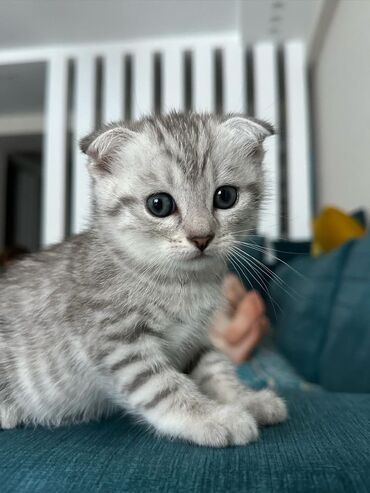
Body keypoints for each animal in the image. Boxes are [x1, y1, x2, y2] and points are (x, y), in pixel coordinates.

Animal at [0, 112, 288, 446]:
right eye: (159, 204)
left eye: (226, 196)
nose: (201, 237)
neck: (184, 284)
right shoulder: (118, 341)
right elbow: (165, 387)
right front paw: (213, 417)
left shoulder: (197, 341)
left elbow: (217, 371)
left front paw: (247, 399)